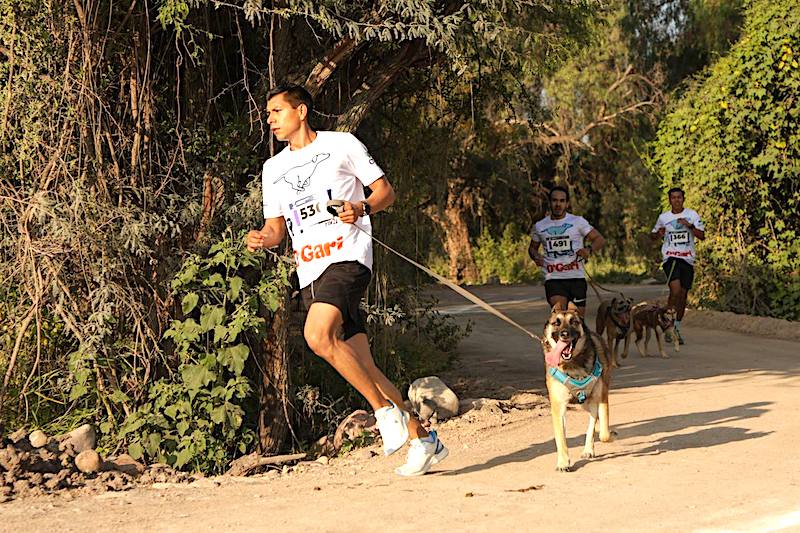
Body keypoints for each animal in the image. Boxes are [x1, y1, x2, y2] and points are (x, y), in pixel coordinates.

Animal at [544, 302, 612, 472]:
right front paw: (563, 462)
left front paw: (607, 435)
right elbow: (561, 438)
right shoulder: (558, 407)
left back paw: (589, 449)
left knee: (594, 423)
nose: (564, 334)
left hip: (592, 401)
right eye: (556, 323)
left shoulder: (600, 398)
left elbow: (603, 433)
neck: (572, 364)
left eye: (574, 322)